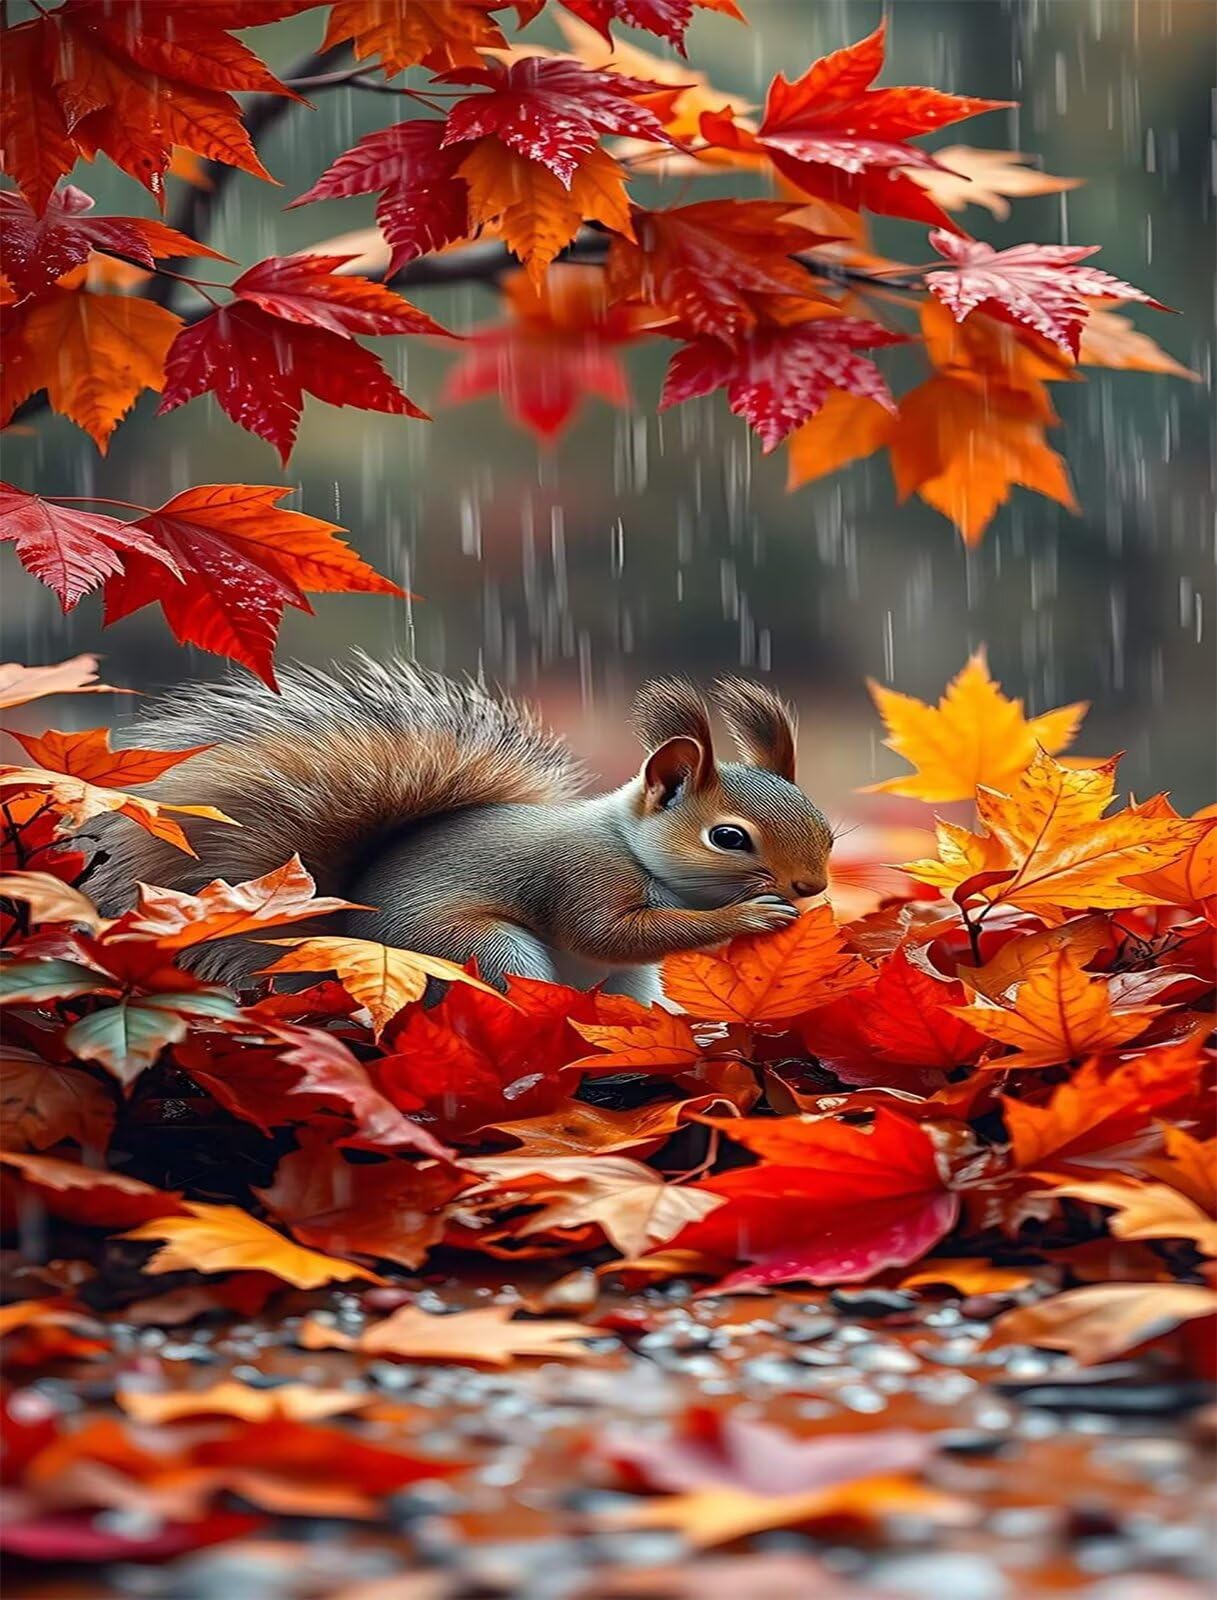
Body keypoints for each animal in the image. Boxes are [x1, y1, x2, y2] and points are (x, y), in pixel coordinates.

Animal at [90, 653, 834, 1002]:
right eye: (728, 837)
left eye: (825, 828)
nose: (811, 888)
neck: (631, 846)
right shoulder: (582, 875)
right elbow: (604, 933)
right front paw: (748, 917)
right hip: (479, 951)